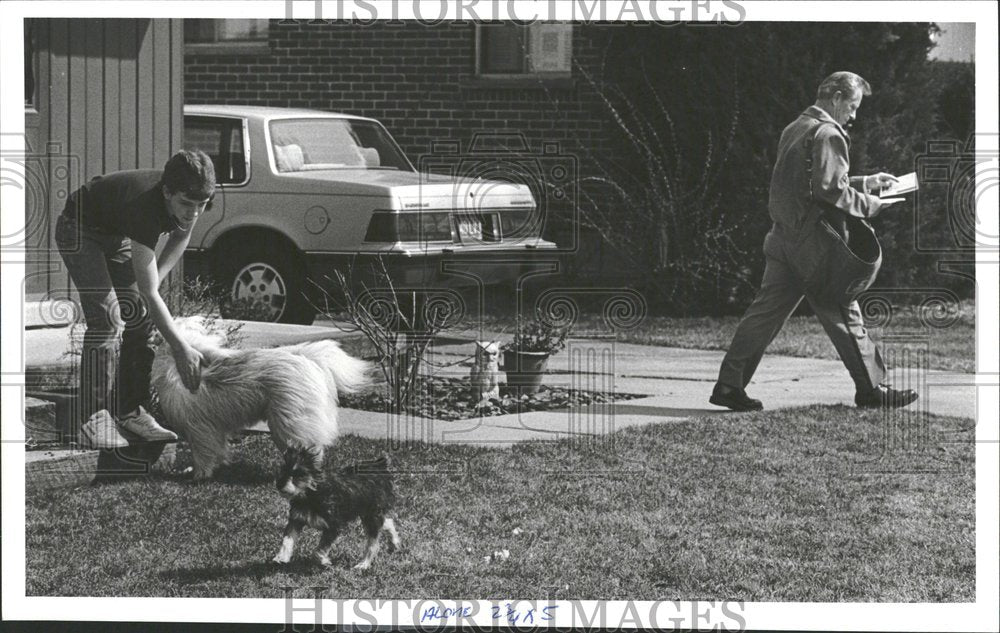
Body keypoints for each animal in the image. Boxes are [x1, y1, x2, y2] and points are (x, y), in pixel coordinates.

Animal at [154, 316, 374, 478]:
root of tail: (309, 359)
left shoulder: (199, 428)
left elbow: (203, 454)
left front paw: (199, 476)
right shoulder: (213, 429)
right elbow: (218, 450)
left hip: (290, 421)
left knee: (310, 448)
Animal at [274, 444, 402, 568]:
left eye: (298, 474)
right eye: (283, 470)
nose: (279, 485)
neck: (311, 493)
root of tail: (379, 466)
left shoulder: (333, 525)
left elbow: (319, 550)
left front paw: (323, 561)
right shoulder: (296, 520)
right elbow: (287, 540)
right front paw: (281, 557)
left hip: (372, 514)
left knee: (373, 543)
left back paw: (364, 564)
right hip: (369, 514)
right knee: (387, 522)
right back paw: (394, 543)